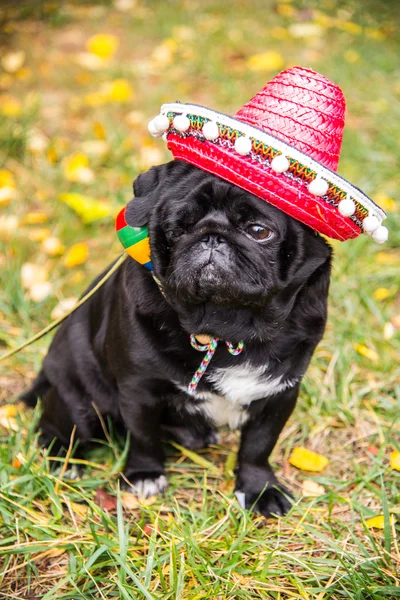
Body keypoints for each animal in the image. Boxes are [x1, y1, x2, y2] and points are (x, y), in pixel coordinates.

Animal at [23, 161, 332, 520]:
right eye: (178, 228)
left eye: (259, 231)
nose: (212, 236)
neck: (227, 326)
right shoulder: (138, 390)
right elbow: (143, 436)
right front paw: (144, 475)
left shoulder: (278, 394)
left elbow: (258, 447)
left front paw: (260, 489)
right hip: (84, 404)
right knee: (57, 427)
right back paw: (65, 461)